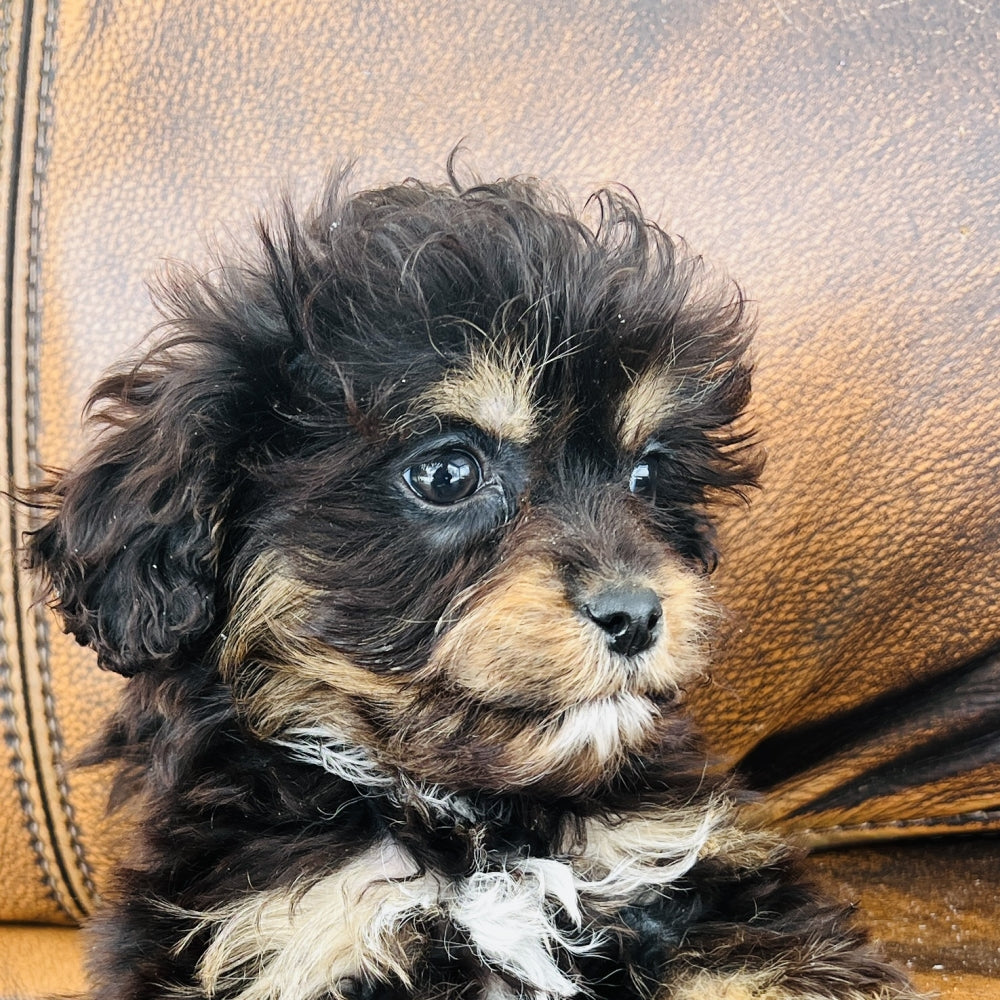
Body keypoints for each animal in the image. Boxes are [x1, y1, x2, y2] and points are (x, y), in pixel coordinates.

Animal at [25, 172, 920, 1000]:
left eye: (646, 474)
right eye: (447, 473)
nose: (636, 614)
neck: (478, 819)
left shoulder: (691, 876)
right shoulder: (296, 930)